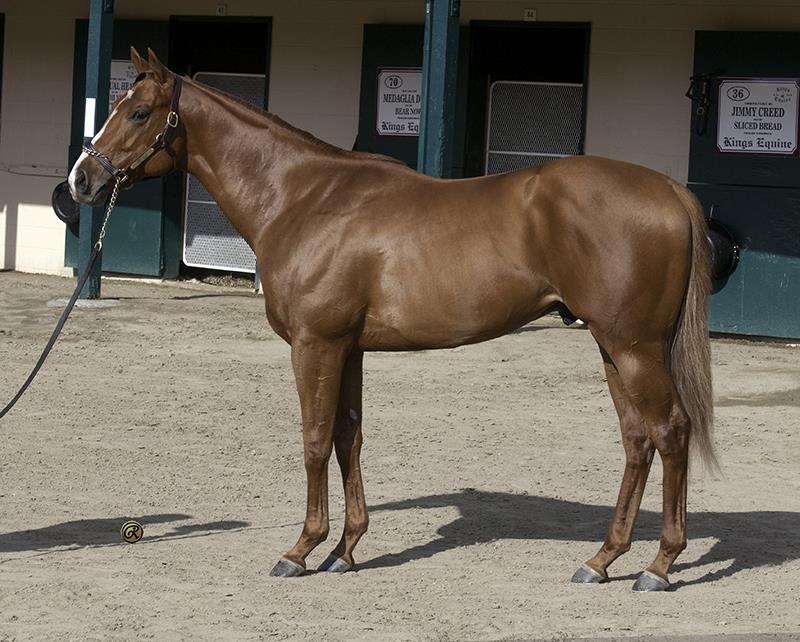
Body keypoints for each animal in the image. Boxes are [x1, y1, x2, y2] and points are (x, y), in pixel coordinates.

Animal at [69, 50, 716, 592]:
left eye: (140, 112)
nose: (81, 180)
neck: (302, 197)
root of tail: (669, 190)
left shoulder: (315, 345)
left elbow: (313, 440)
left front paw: (301, 550)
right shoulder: (348, 349)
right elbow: (347, 438)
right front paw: (345, 550)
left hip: (633, 347)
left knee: (671, 431)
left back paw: (659, 565)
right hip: (613, 348)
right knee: (637, 440)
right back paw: (602, 559)